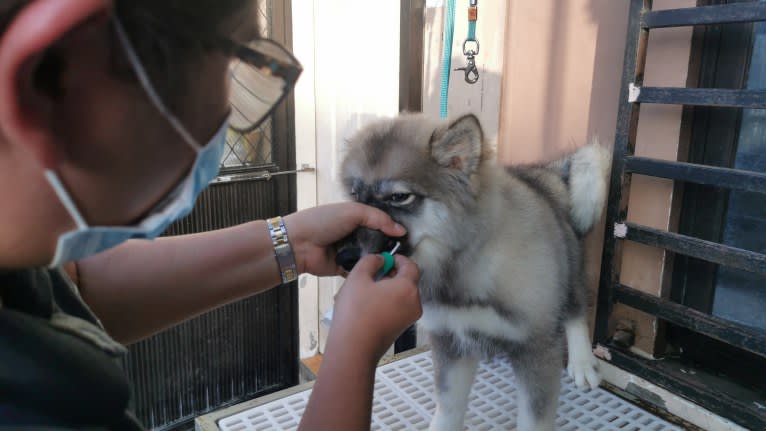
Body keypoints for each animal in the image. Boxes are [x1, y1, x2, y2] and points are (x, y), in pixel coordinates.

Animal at [340, 113, 608, 430]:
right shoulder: (450, 340)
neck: (463, 263)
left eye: (399, 197)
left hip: (570, 269)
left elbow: (534, 419)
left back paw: (582, 363)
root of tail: (544, 173)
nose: (344, 257)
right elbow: (449, 407)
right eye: (355, 194)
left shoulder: (536, 346)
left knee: (576, 310)